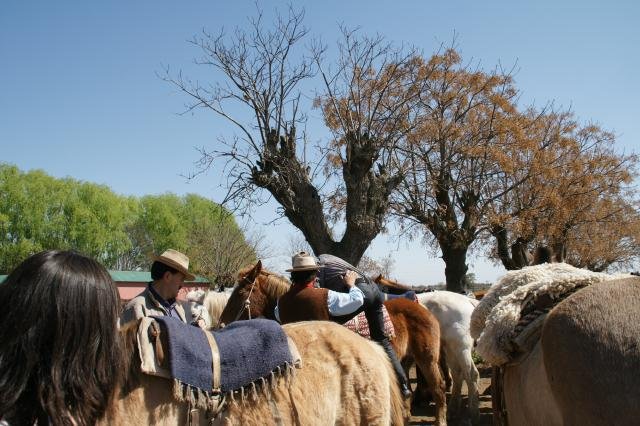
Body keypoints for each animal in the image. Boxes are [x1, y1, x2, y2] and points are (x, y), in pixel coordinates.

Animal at [218, 260, 448, 426]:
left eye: (241, 292)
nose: (221, 323)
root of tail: (424, 309)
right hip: (408, 359)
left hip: (427, 359)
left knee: (438, 388)